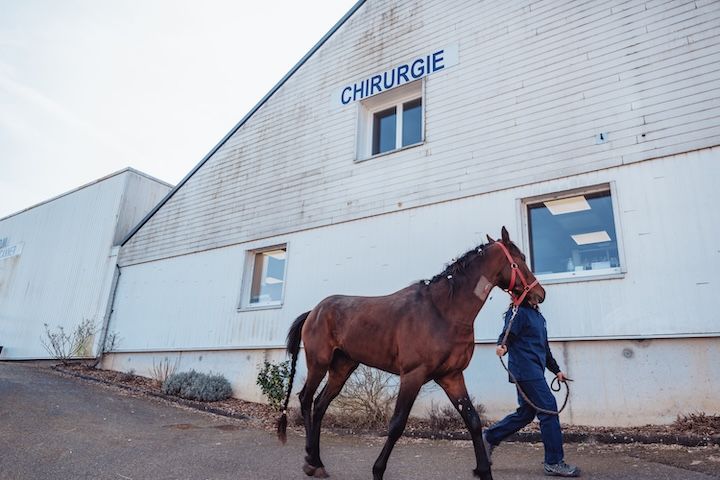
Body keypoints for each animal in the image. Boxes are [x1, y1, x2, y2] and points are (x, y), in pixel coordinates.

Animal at [276, 227, 545, 480]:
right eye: (520, 259)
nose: (539, 294)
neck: (442, 311)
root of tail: (314, 311)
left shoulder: (452, 377)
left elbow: (473, 421)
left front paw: (484, 471)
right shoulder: (412, 376)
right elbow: (397, 424)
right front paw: (378, 470)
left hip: (342, 367)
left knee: (321, 404)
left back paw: (317, 463)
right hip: (318, 363)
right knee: (305, 399)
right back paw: (311, 461)